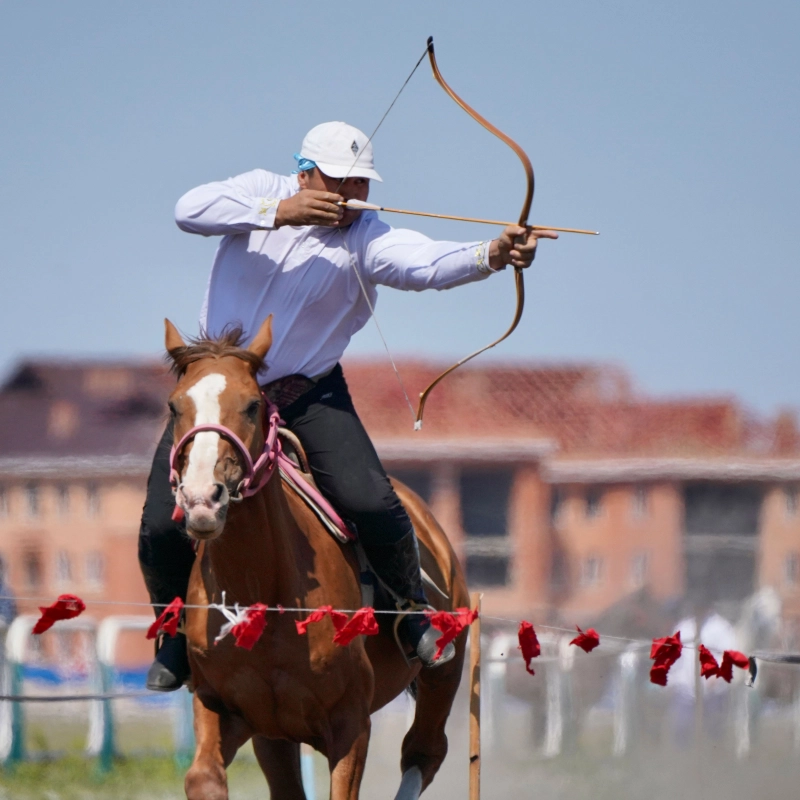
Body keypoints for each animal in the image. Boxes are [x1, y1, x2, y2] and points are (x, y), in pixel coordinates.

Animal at [166, 314, 472, 800]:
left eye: (252, 405)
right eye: (175, 407)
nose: (201, 500)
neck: (266, 595)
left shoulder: (351, 725)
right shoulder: (227, 711)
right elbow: (203, 779)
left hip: (444, 673)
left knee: (425, 751)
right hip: (274, 738)